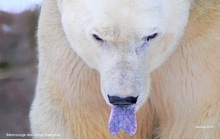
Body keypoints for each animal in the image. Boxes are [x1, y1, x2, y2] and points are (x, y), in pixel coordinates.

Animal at [29, 0, 220, 138]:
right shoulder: (73, 62)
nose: (122, 99)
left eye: (151, 35)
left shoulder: (202, 48)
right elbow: (83, 116)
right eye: (98, 37)